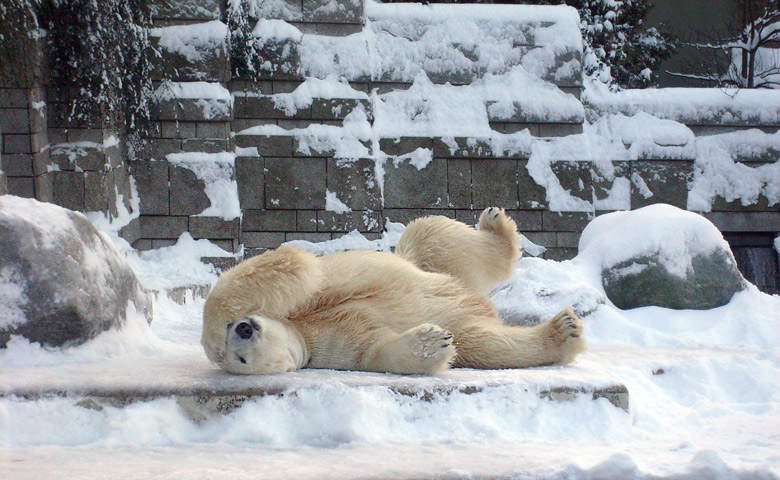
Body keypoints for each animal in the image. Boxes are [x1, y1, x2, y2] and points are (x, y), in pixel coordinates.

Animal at [201, 206, 584, 376]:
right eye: (242, 360)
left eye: (236, 344)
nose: (243, 328)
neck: (305, 330)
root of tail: (475, 297)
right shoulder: (335, 347)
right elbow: (378, 351)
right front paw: (432, 341)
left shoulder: (320, 297)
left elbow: (299, 268)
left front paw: (211, 335)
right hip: (469, 317)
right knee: (488, 344)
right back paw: (563, 331)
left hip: (430, 263)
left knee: (431, 233)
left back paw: (496, 225)